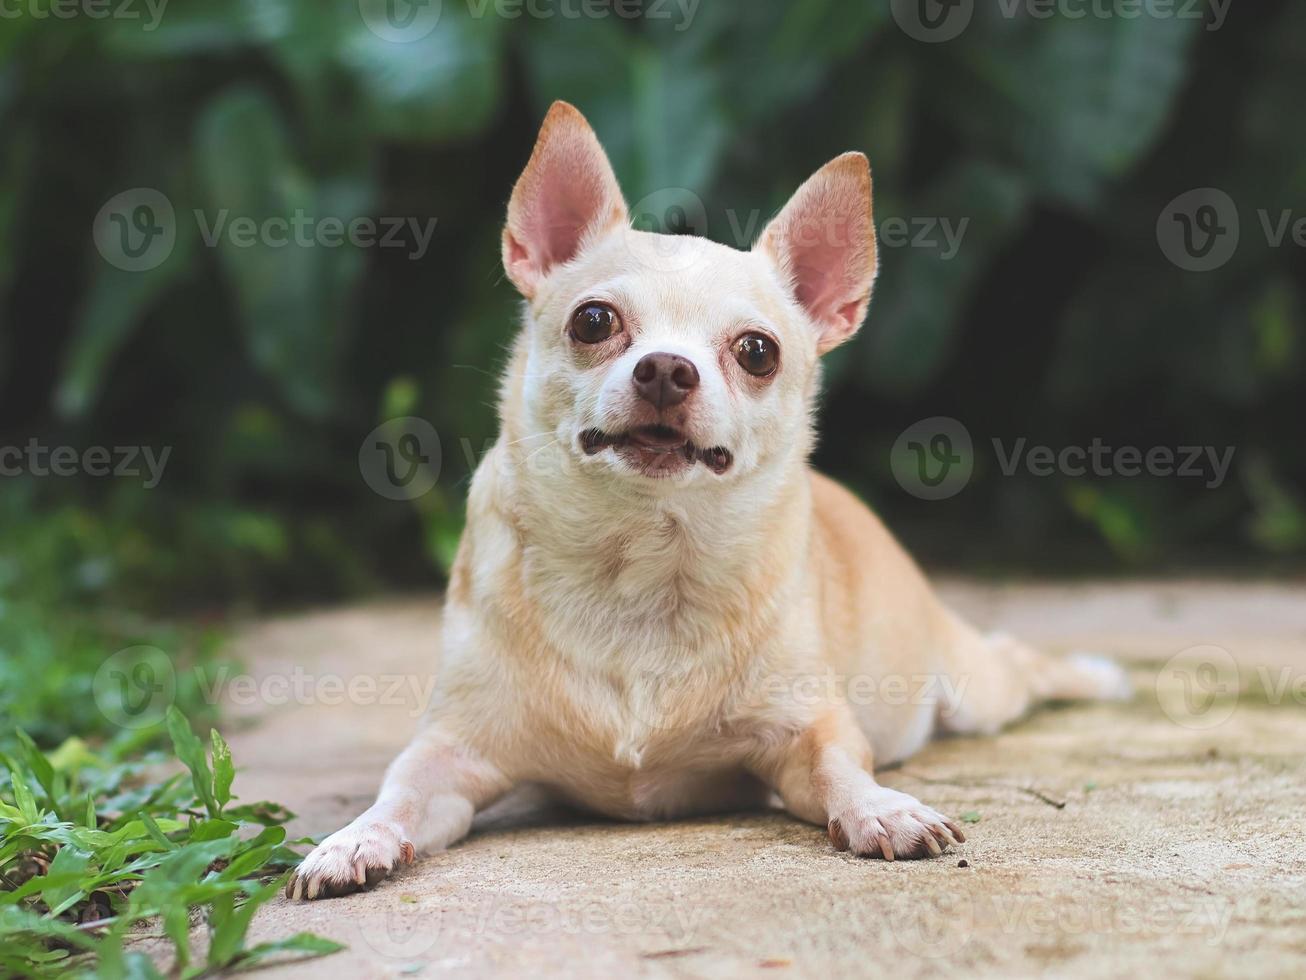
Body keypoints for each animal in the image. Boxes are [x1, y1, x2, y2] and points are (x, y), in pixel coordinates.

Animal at [288, 103, 1133, 904]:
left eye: (757, 352)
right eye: (593, 320)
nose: (666, 368)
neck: (639, 561)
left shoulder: (807, 732)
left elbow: (841, 768)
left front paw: (882, 809)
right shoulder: (451, 752)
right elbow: (398, 790)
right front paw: (352, 840)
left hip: (970, 686)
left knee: (1018, 661)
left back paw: (1092, 676)